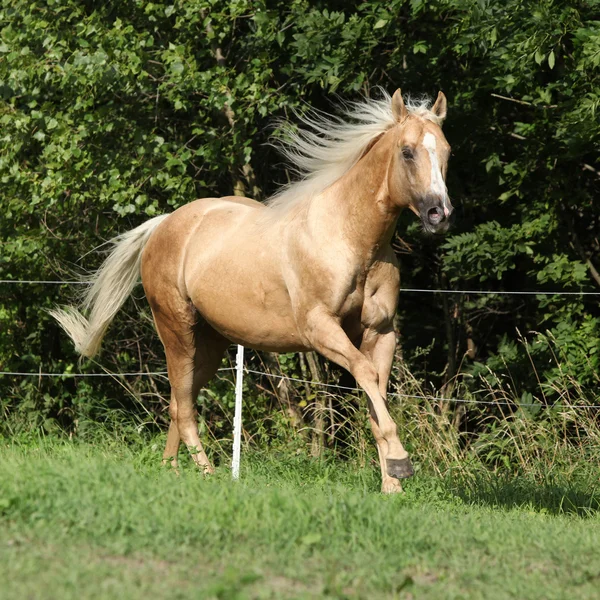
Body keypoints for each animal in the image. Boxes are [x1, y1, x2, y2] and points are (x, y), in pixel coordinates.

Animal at [54, 89, 452, 492]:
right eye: (407, 151)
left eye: (447, 151)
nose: (440, 214)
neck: (349, 237)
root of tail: (165, 224)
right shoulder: (319, 327)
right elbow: (366, 375)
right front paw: (400, 463)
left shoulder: (380, 332)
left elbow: (375, 393)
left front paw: (391, 485)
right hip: (177, 332)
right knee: (185, 409)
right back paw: (209, 475)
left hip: (209, 344)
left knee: (178, 403)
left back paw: (173, 472)